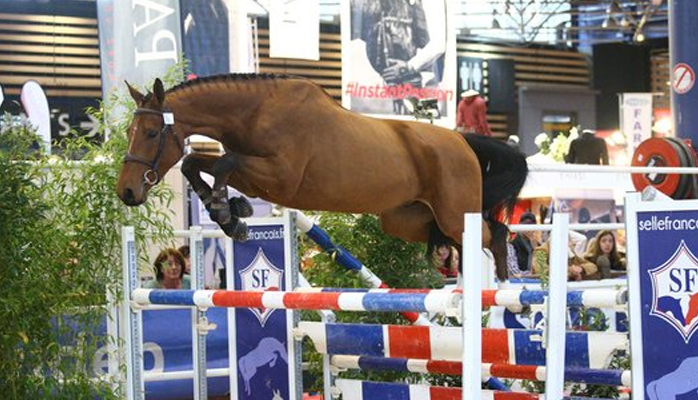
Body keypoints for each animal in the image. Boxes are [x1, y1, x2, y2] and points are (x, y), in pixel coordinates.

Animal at [115, 76, 528, 282]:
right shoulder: (259, 174)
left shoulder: (280, 178)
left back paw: (510, 294)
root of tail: (462, 141)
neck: (255, 112)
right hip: (406, 220)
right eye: (128, 132)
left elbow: (222, 164)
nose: (127, 191)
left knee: (497, 234)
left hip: (454, 213)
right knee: (465, 239)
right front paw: (233, 213)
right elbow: (194, 162)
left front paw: (228, 212)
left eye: (151, 133)